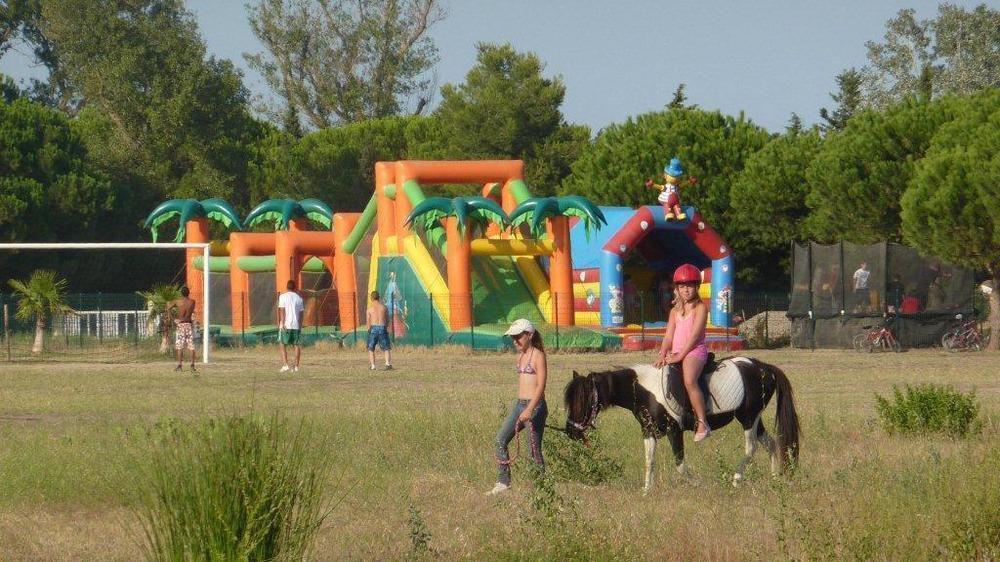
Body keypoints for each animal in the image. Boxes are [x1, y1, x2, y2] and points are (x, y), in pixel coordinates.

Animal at [568, 354, 800, 490]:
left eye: (581, 401)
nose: (571, 431)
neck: (644, 391)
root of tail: (765, 367)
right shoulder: (649, 431)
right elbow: (649, 461)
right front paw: (646, 491)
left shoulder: (674, 431)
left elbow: (679, 464)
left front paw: (699, 483)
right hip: (754, 419)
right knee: (771, 444)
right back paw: (775, 478)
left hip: (748, 418)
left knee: (751, 448)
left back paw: (735, 479)